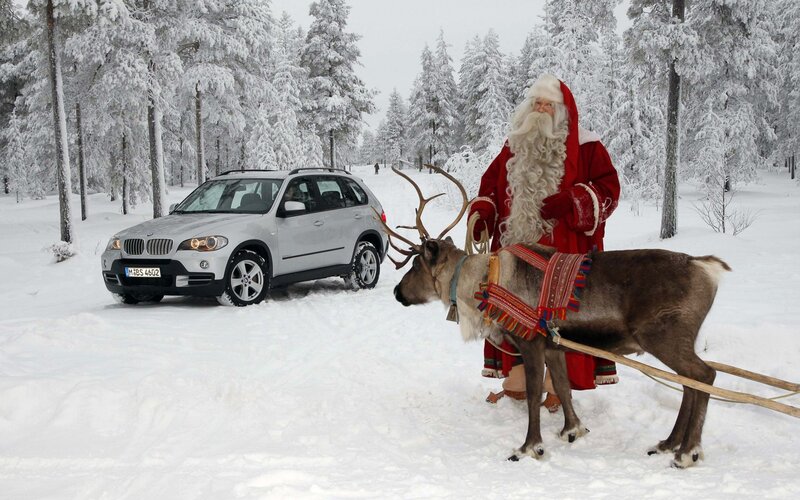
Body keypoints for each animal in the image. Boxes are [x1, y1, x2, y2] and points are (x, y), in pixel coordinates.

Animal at [378, 166, 730, 468]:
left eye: (415, 265)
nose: (397, 292)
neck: (483, 283)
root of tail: (707, 267)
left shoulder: (530, 341)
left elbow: (534, 393)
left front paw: (529, 447)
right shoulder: (555, 345)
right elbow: (562, 386)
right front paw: (572, 429)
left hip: (663, 337)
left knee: (704, 376)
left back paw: (687, 452)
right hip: (677, 341)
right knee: (690, 383)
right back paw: (668, 444)